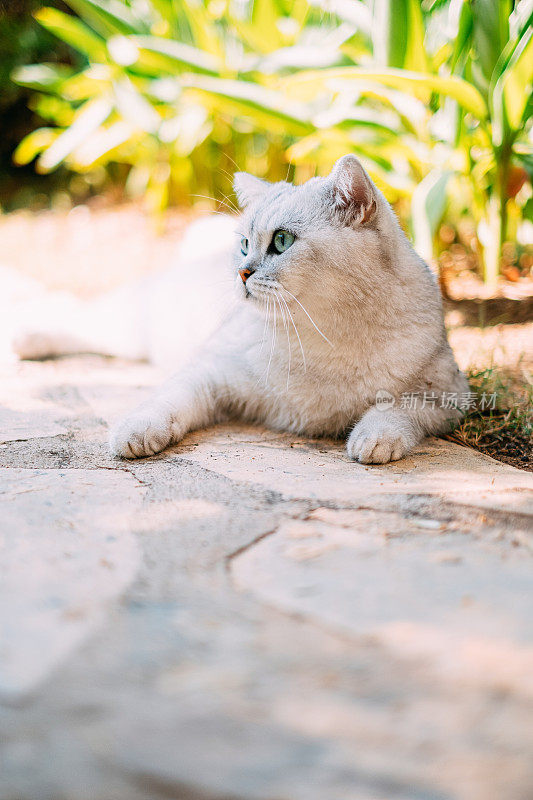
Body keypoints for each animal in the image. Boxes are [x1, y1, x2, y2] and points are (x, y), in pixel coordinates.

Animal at [9, 157, 466, 466]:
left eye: (282, 241)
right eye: (245, 244)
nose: (242, 272)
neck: (321, 336)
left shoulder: (451, 395)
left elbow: (399, 407)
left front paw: (373, 437)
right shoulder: (211, 372)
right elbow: (168, 400)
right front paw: (137, 431)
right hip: (129, 323)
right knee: (77, 313)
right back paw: (26, 338)